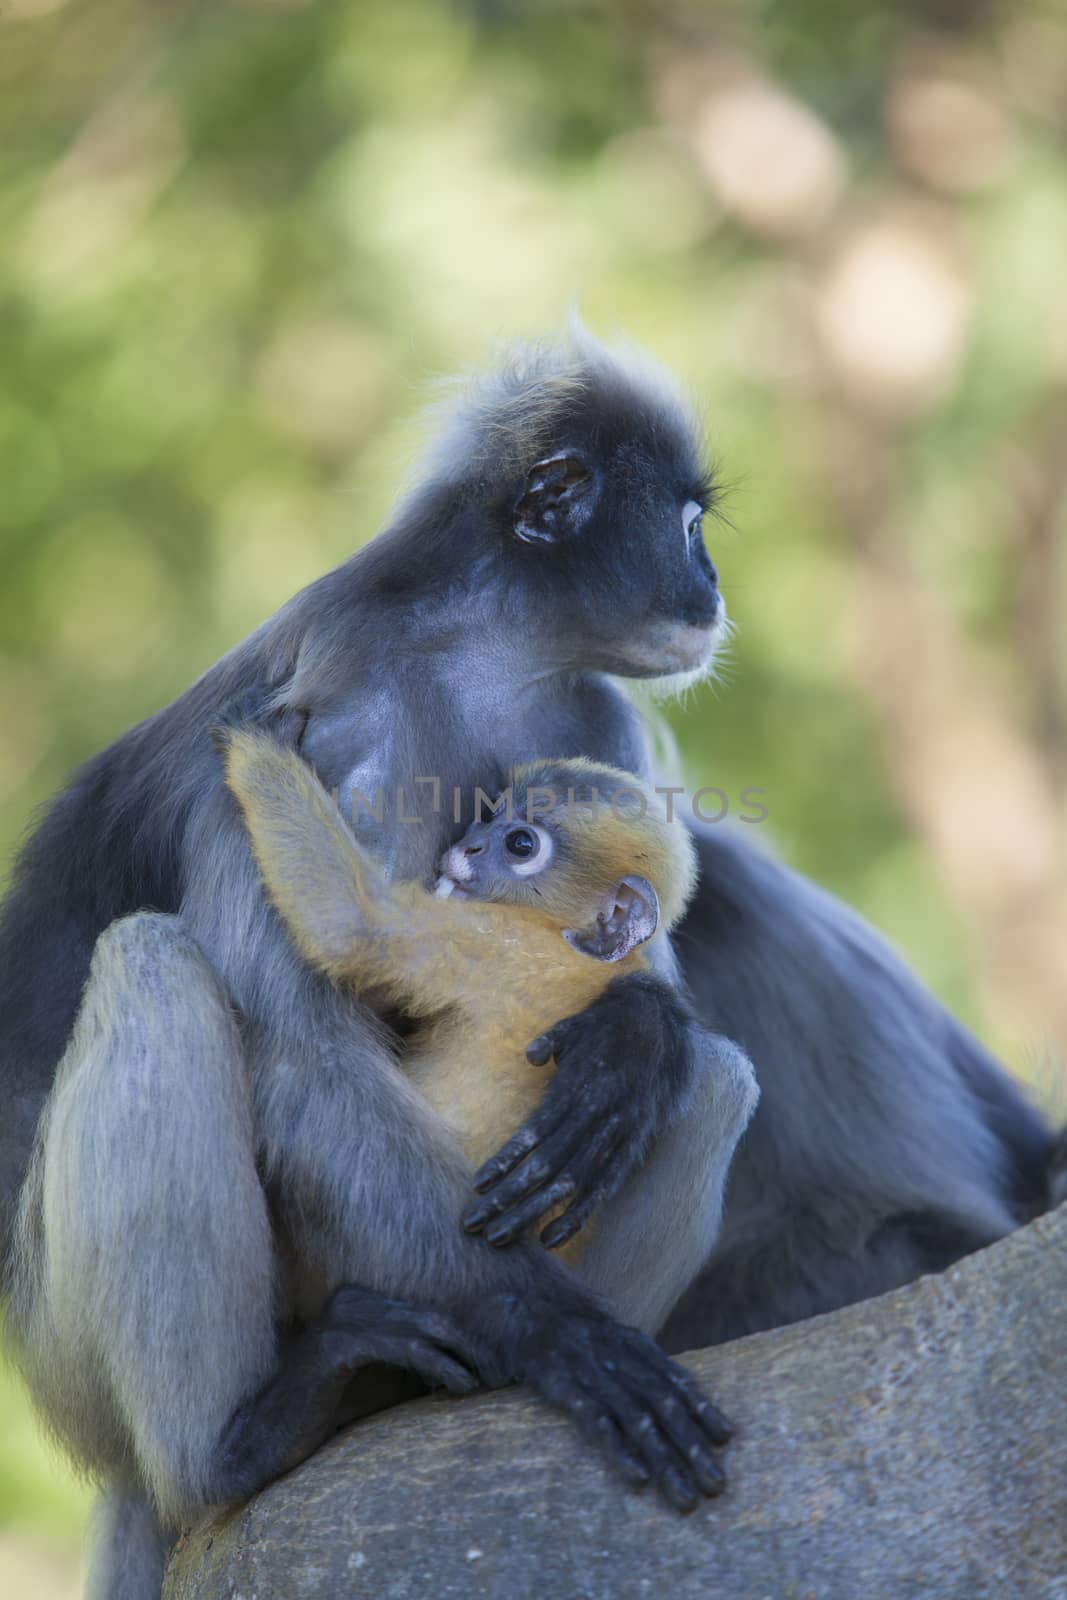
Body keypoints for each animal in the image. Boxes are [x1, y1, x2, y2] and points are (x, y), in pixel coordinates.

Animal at [220, 726, 697, 1260]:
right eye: (492, 814)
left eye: (521, 843)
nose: (468, 846)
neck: (570, 941)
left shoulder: (505, 944)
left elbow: (353, 925)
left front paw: (251, 745)